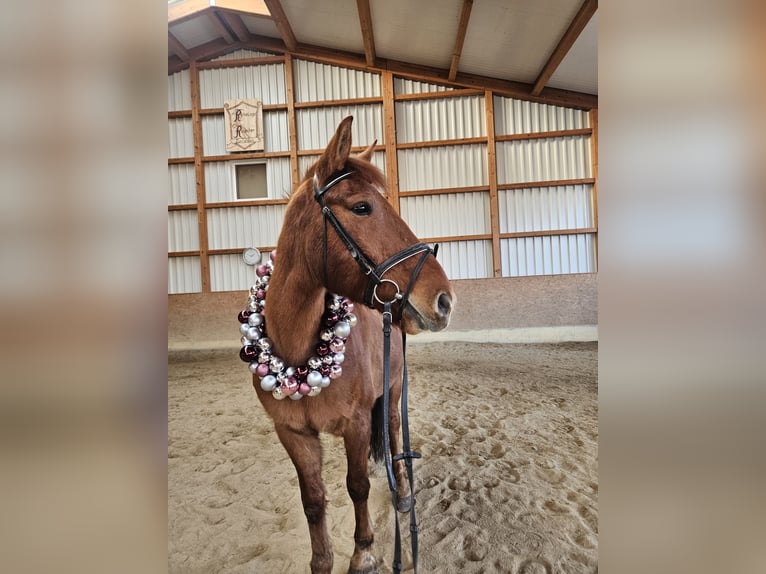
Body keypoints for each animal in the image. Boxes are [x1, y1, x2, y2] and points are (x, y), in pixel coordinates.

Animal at [237, 116, 455, 573]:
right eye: (362, 207)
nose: (444, 299)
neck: (298, 355)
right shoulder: (292, 433)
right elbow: (313, 500)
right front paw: (322, 560)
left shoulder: (355, 423)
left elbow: (356, 487)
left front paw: (364, 551)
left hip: (393, 391)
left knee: (393, 437)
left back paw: (402, 491)